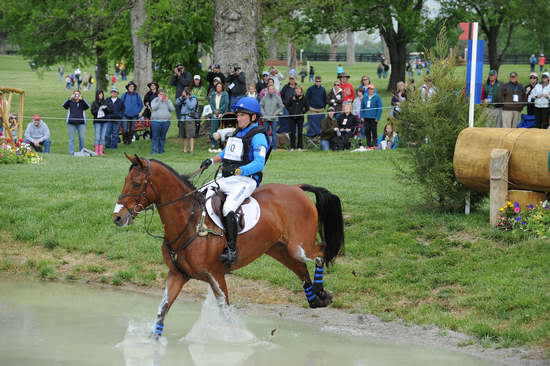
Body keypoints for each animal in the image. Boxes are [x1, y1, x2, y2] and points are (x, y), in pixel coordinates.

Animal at [112, 154, 344, 338]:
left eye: (136, 184)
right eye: (125, 180)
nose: (117, 217)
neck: (190, 220)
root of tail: (296, 188)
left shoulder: (216, 275)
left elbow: (225, 313)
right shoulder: (177, 275)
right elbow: (162, 310)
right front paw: (155, 342)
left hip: (299, 246)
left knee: (320, 253)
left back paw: (320, 292)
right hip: (278, 249)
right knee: (301, 269)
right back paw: (317, 298)